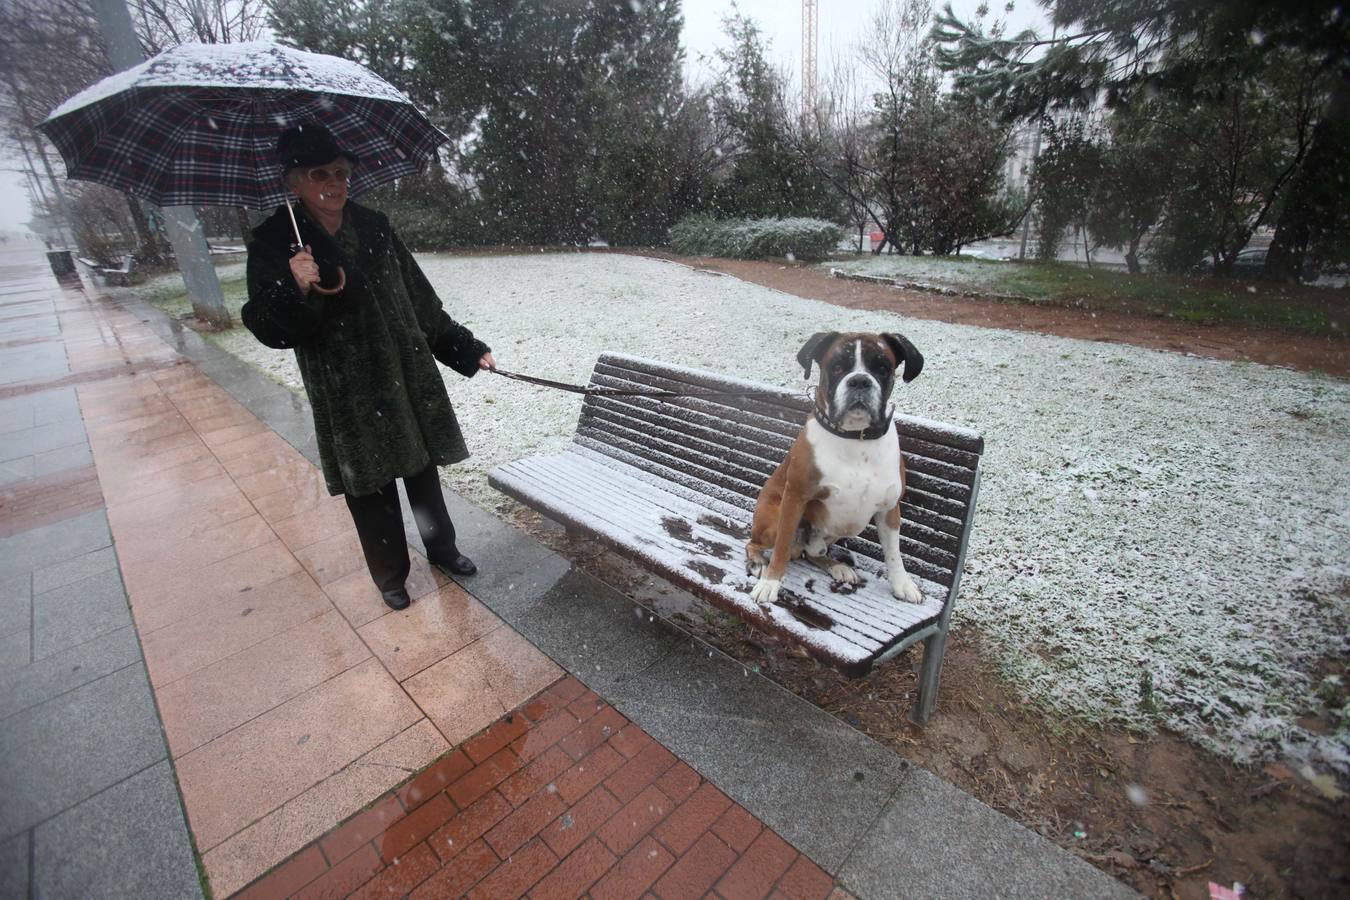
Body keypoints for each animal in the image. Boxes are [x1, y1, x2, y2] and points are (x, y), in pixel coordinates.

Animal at [745, 334, 923, 609]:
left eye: (882, 368)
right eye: (837, 367)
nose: (859, 380)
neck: (857, 439)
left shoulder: (889, 509)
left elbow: (894, 554)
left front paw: (902, 584)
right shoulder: (794, 499)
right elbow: (782, 547)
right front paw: (770, 583)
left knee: (811, 553)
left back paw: (838, 567)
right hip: (772, 520)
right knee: (757, 543)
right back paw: (757, 563)